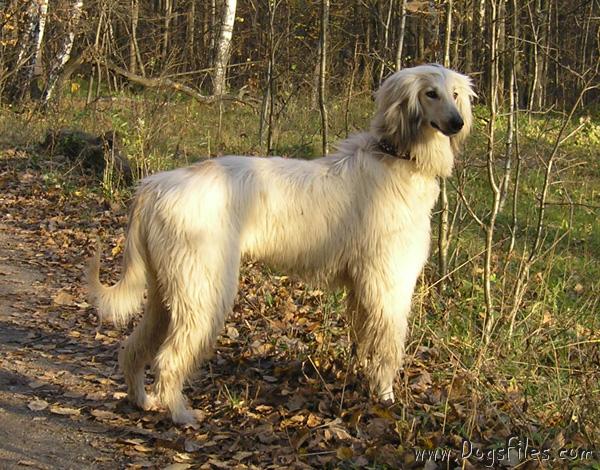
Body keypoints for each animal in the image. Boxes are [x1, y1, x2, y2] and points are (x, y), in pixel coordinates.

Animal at [88, 64, 474, 424]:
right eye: (430, 93)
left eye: (454, 93)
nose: (456, 124)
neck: (397, 158)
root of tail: (154, 187)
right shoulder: (388, 286)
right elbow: (387, 348)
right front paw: (386, 399)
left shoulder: (363, 289)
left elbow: (366, 342)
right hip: (203, 287)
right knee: (169, 359)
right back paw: (180, 413)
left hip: (165, 288)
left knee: (133, 348)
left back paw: (142, 399)